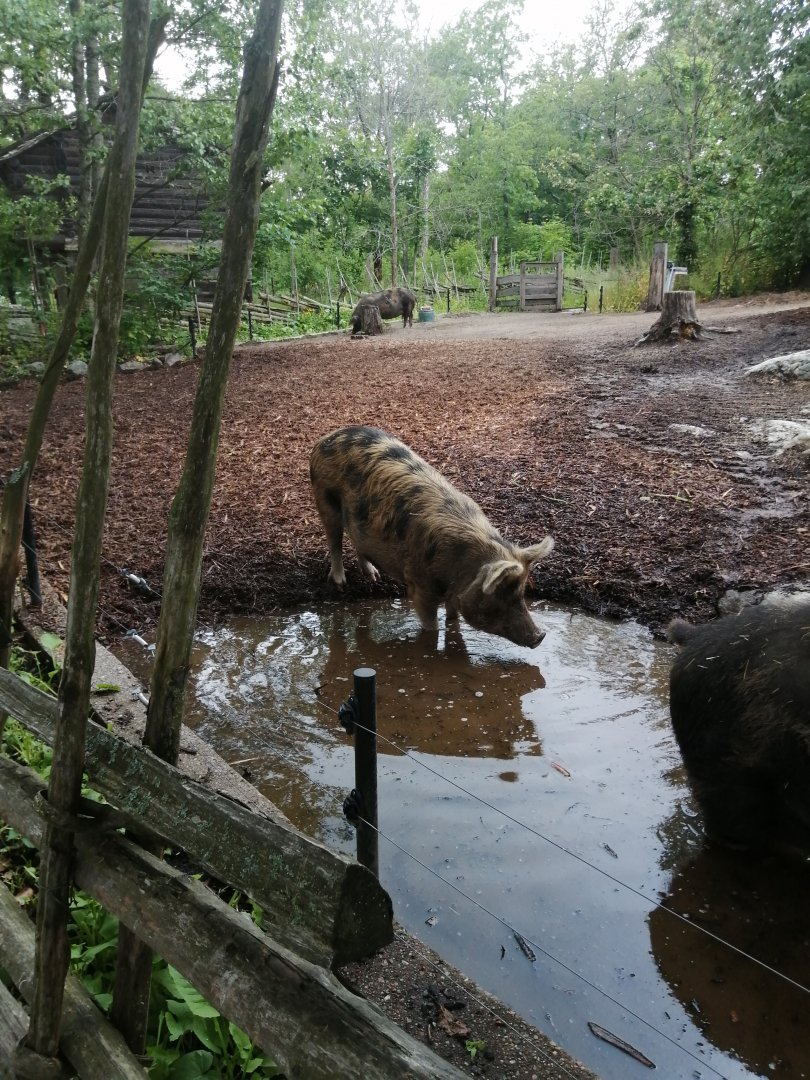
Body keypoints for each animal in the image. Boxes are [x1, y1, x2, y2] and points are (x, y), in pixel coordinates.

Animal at [309, 426, 554, 648]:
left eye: (521, 593)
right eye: (503, 592)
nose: (540, 636)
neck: (459, 565)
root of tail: (325, 438)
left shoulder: (454, 593)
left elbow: (453, 619)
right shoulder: (419, 587)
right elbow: (431, 626)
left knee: (356, 540)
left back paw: (373, 576)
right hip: (325, 499)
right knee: (334, 540)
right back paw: (340, 583)